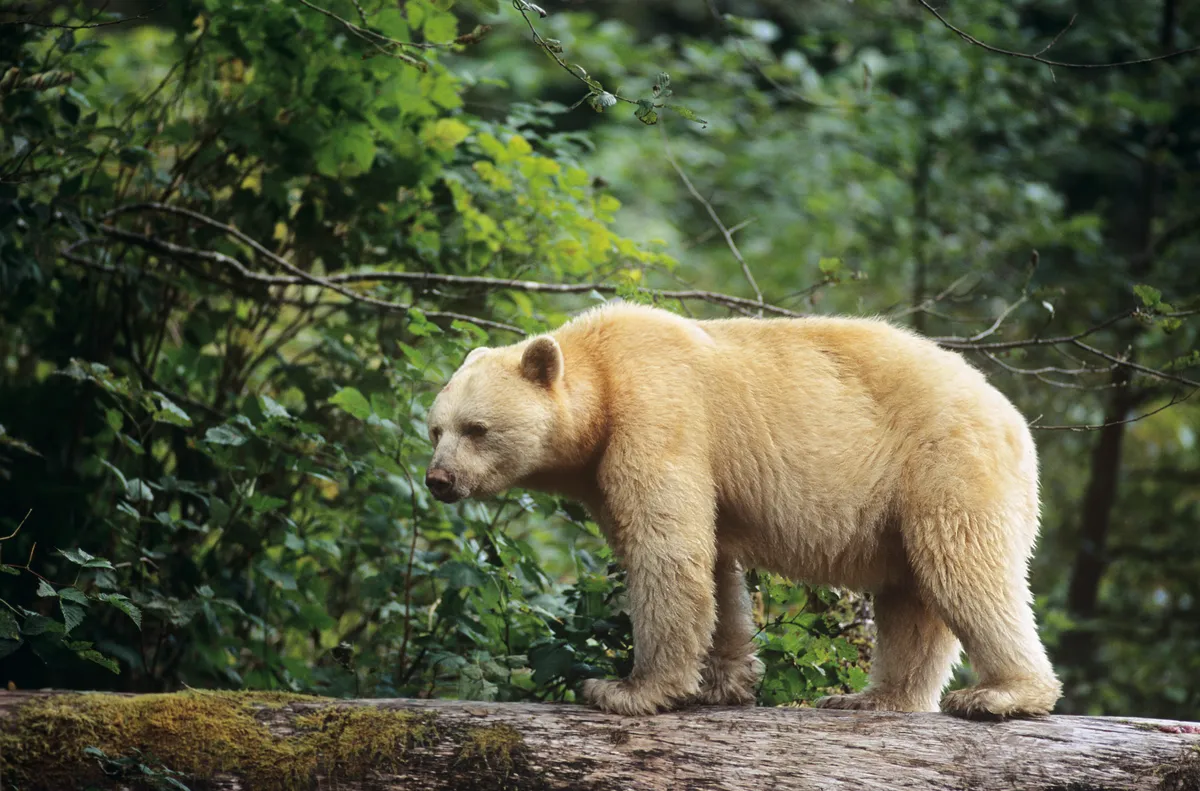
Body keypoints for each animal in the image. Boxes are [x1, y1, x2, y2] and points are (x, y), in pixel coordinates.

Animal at [424, 302, 1062, 719]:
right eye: (434, 429)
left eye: (476, 429)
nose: (438, 480)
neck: (602, 373)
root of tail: (1014, 420)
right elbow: (713, 566)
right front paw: (722, 683)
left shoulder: (657, 414)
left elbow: (665, 550)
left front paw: (624, 689)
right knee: (912, 596)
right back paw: (872, 697)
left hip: (943, 463)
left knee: (964, 568)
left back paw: (1001, 695)